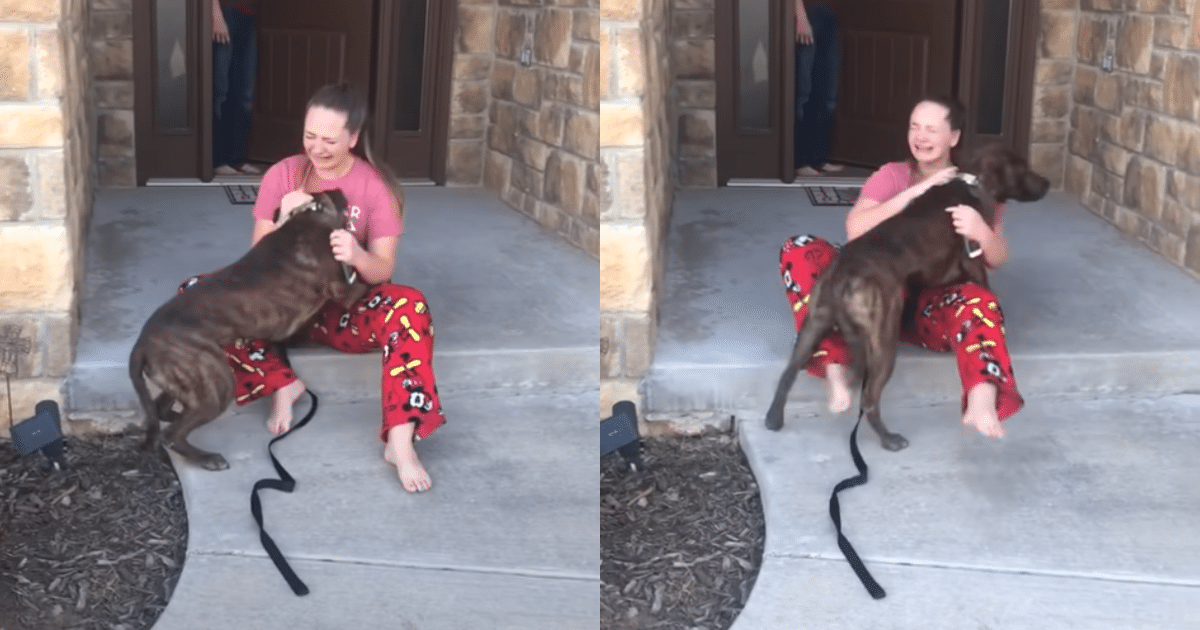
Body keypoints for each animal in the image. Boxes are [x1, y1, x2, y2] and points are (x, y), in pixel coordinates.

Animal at [130, 189, 357, 468]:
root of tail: (141, 344)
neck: (312, 215)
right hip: (215, 381)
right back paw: (208, 458)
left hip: (184, 379)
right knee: (172, 435)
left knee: (163, 409)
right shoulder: (345, 289)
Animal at [763, 143, 1046, 446]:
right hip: (884, 339)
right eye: (1023, 167)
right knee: (869, 399)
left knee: (789, 373)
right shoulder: (973, 258)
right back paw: (889, 439)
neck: (975, 180)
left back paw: (774, 418)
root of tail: (843, 275)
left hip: (815, 324)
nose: (1048, 183)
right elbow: (986, 285)